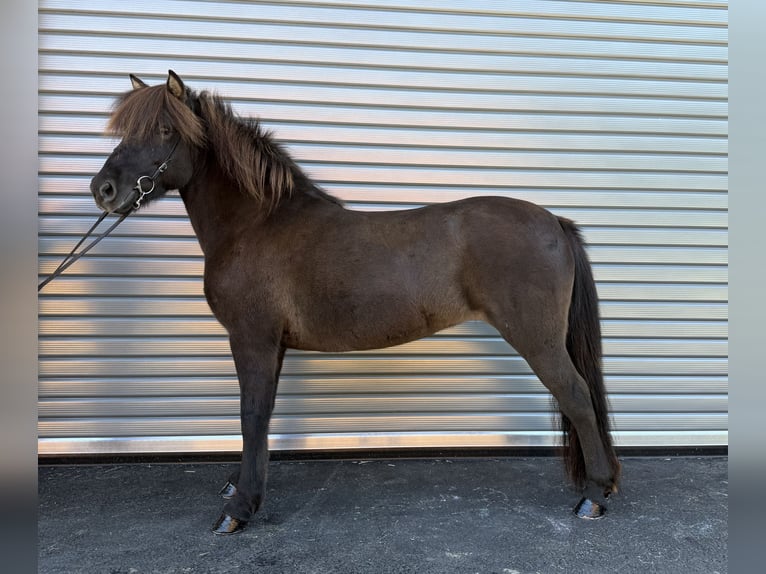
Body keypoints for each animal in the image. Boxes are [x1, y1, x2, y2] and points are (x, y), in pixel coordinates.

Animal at [89, 70, 621, 535]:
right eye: (126, 131)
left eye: (164, 130)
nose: (104, 189)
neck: (256, 225)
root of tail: (554, 221)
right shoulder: (272, 346)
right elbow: (262, 412)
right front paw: (243, 487)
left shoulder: (252, 338)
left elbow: (251, 412)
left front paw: (238, 509)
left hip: (537, 339)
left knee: (577, 397)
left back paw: (594, 495)